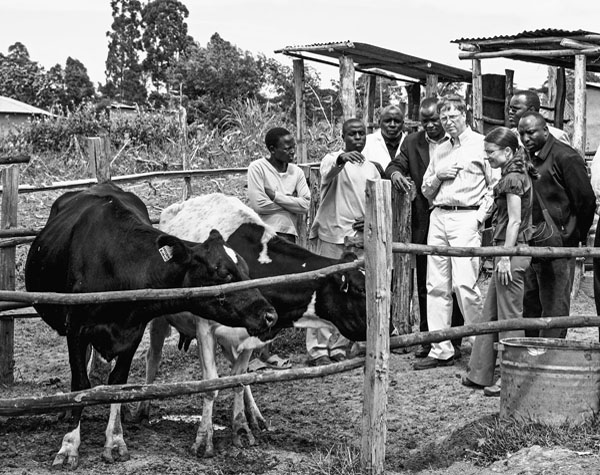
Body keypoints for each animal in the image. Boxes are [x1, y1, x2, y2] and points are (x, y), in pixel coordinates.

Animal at [23, 184, 276, 470]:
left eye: (245, 269)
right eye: (223, 273)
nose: (269, 314)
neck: (116, 263)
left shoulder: (132, 333)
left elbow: (117, 383)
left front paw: (115, 440)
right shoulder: (76, 330)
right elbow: (80, 384)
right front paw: (69, 445)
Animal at [138, 193, 368, 458]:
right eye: (360, 290)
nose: (390, 327)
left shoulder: (254, 333)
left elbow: (239, 379)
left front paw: (241, 429)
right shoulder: (205, 327)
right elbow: (211, 384)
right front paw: (204, 440)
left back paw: (255, 417)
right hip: (159, 318)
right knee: (153, 359)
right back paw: (142, 410)